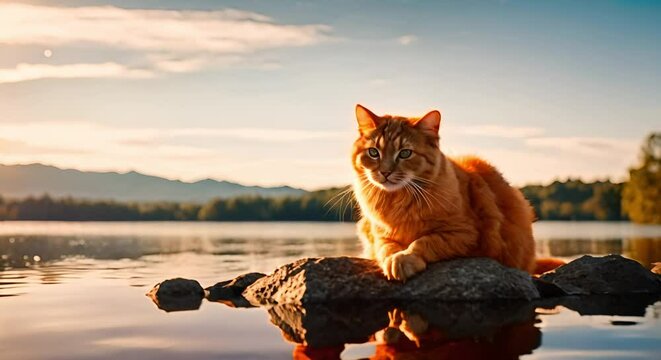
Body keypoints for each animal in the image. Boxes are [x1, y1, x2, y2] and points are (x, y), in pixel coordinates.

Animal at [354, 104, 556, 282]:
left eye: (405, 153)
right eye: (373, 152)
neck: (398, 199)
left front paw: (405, 258)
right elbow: (387, 248)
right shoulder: (379, 236)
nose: (385, 172)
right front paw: (393, 258)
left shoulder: (464, 233)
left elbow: (424, 241)